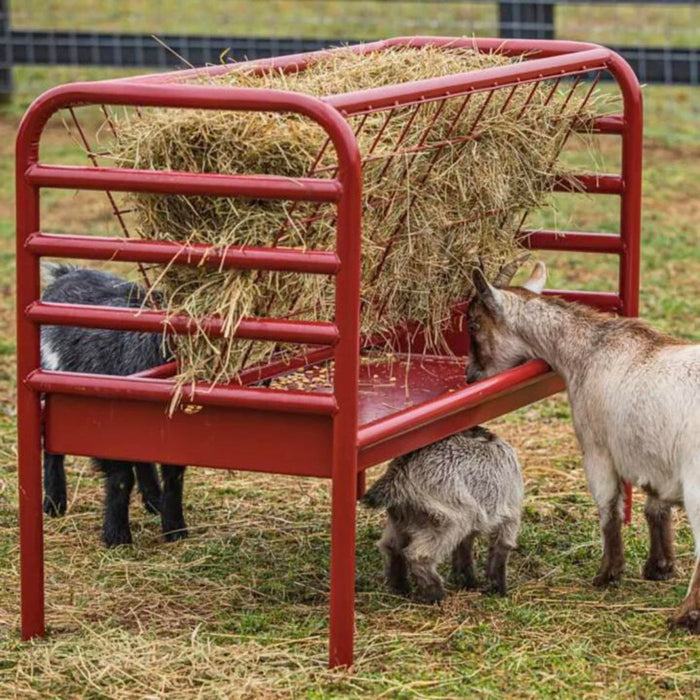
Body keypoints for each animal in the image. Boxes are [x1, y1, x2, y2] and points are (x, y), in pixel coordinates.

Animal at [41, 264, 188, 547]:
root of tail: (66, 274)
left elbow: (173, 475)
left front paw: (175, 529)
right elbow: (121, 478)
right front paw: (117, 536)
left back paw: (153, 500)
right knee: (51, 447)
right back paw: (54, 504)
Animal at [362, 426, 523, 603]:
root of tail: (399, 475)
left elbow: (464, 547)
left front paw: (466, 581)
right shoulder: (510, 514)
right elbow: (501, 548)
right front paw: (498, 589)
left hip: (402, 519)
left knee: (391, 546)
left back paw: (400, 588)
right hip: (450, 520)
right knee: (418, 556)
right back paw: (436, 595)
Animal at [466, 261, 700, 632]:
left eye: (473, 324)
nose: (470, 376)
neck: (588, 351)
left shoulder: (597, 449)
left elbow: (608, 508)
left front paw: (607, 573)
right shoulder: (653, 456)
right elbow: (655, 507)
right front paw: (659, 567)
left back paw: (685, 615)